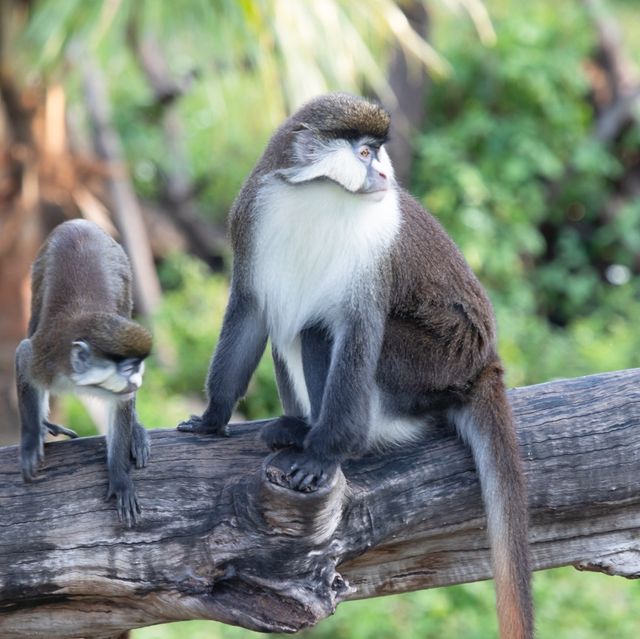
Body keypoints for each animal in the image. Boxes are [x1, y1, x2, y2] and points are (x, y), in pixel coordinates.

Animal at [16, 220, 152, 524]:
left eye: (138, 366)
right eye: (129, 367)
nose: (137, 381)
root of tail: (78, 222)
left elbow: (121, 407)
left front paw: (119, 477)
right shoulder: (44, 357)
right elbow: (22, 356)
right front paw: (32, 437)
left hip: (123, 268)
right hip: (38, 268)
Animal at [178, 92, 532, 636]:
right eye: (365, 153)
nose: (384, 174)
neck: (320, 194)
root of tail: (483, 364)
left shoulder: (371, 253)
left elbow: (355, 328)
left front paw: (324, 457)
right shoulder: (252, 215)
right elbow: (254, 308)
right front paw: (214, 416)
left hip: (431, 365)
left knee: (315, 330)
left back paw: (345, 443)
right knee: (291, 317)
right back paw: (297, 427)